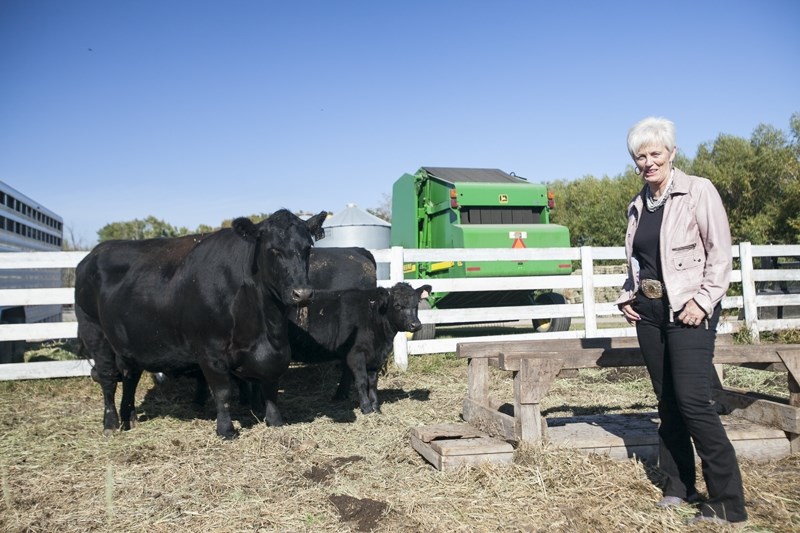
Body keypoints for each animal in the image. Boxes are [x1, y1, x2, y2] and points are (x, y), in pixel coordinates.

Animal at [75, 210, 324, 438]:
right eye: (273, 249)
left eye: (307, 248)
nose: (302, 293)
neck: (263, 325)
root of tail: (93, 254)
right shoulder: (210, 351)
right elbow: (222, 392)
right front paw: (226, 430)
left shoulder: (276, 351)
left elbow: (270, 387)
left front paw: (275, 421)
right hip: (93, 330)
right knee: (107, 378)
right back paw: (111, 424)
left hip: (129, 343)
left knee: (130, 376)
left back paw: (131, 418)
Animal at [290, 280, 434, 414]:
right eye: (397, 305)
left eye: (416, 304)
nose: (416, 325)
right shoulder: (355, 353)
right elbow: (362, 380)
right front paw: (366, 407)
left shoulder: (376, 357)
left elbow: (373, 382)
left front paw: (376, 407)